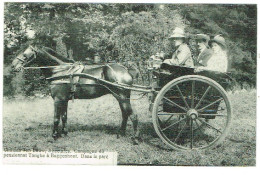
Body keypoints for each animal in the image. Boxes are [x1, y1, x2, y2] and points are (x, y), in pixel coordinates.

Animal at [11, 44, 140, 144]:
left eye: (25, 54)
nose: (13, 66)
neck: (60, 70)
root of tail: (126, 69)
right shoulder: (64, 99)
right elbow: (64, 116)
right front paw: (64, 133)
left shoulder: (58, 99)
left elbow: (56, 118)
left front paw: (54, 136)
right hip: (120, 97)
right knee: (125, 115)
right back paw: (121, 134)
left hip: (122, 97)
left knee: (132, 116)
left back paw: (135, 138)